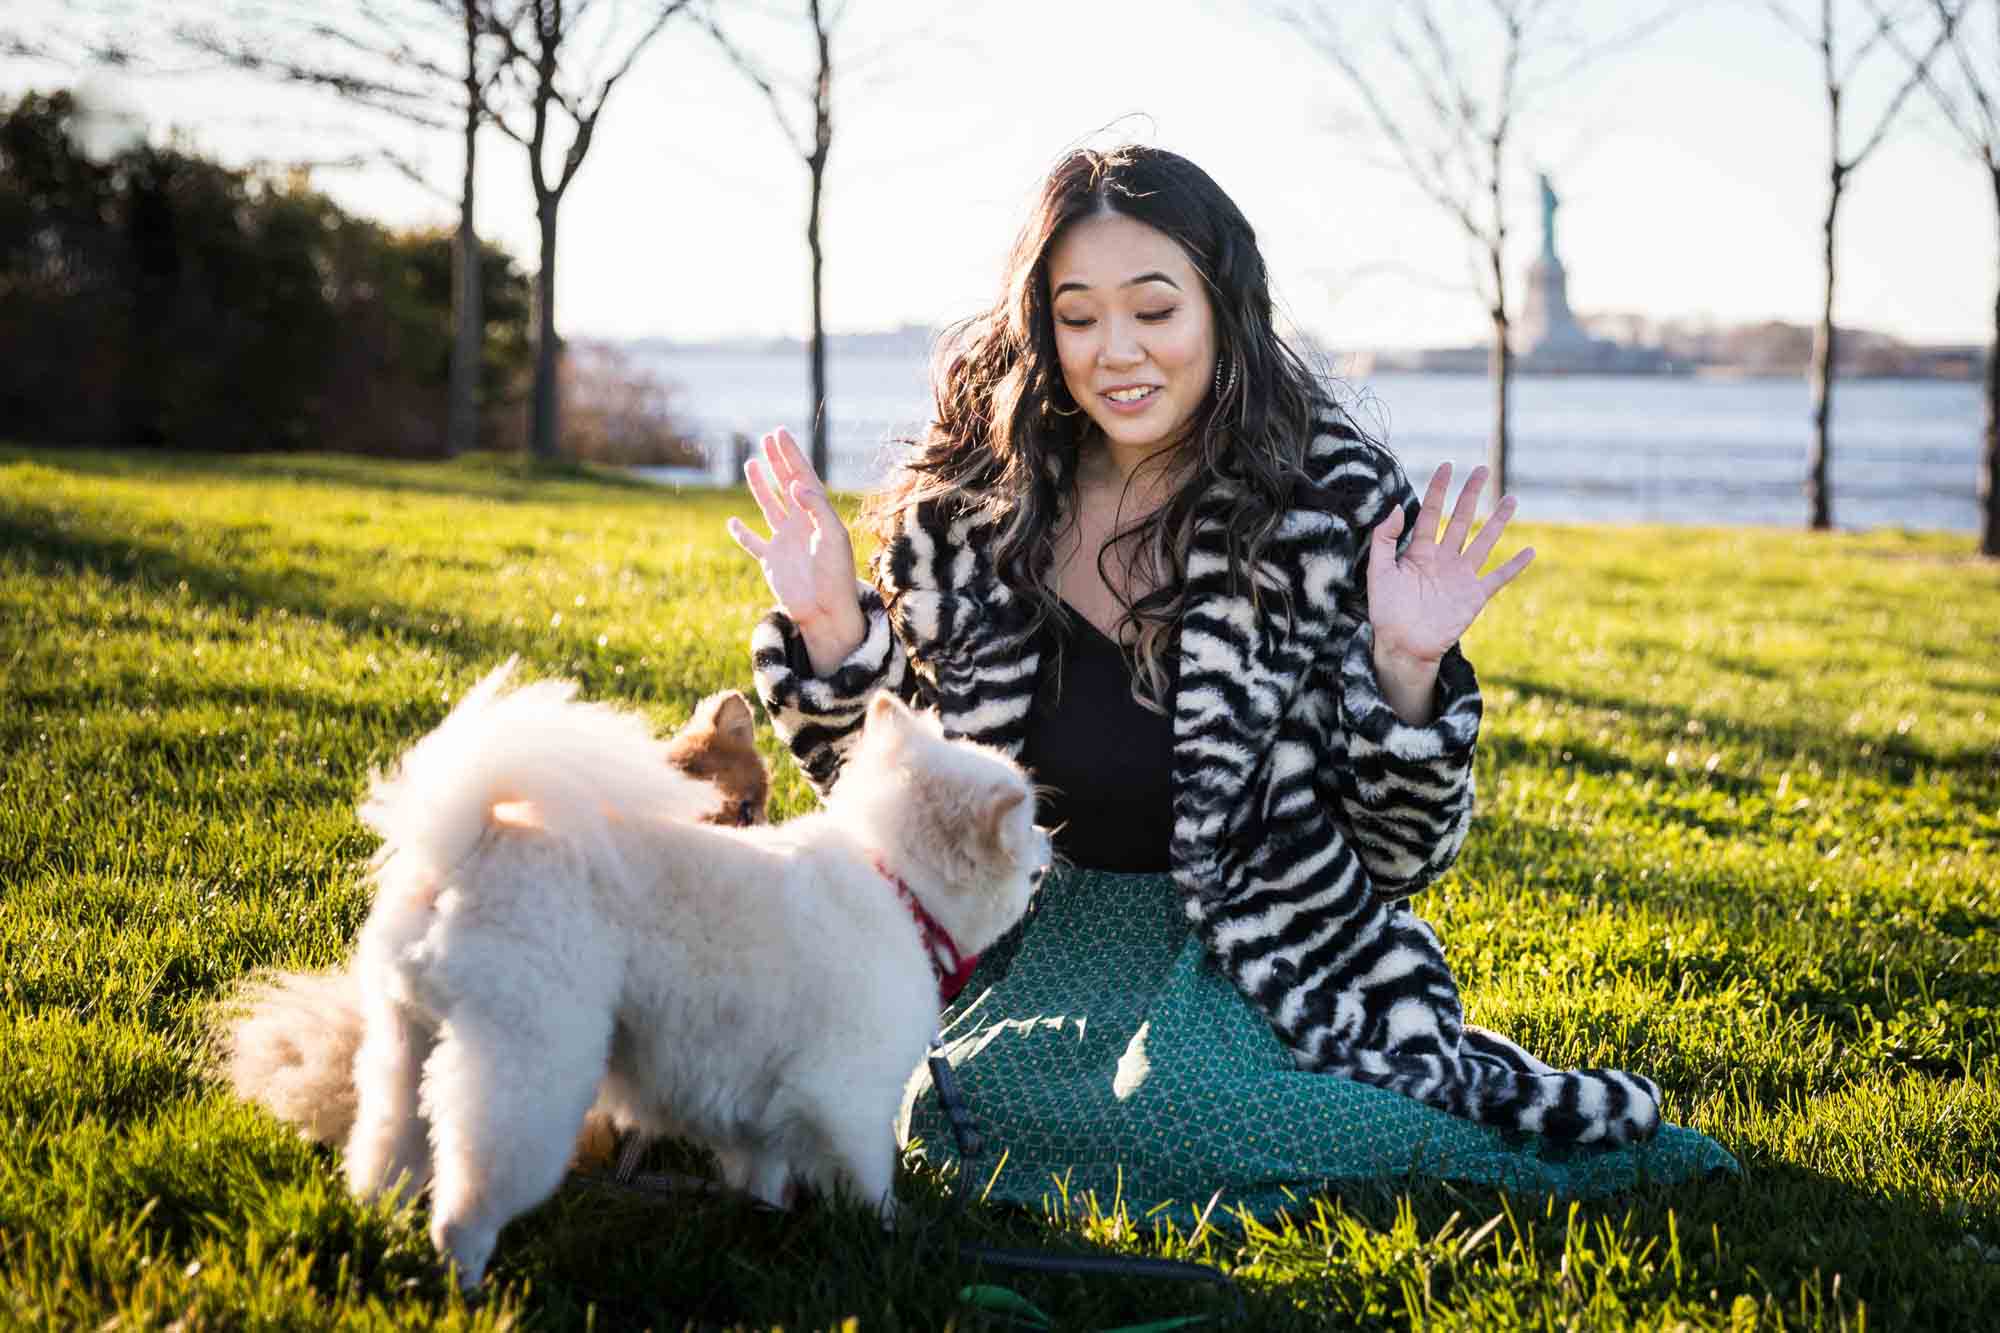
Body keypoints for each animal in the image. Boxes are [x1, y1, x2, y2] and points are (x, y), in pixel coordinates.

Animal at [338, 660, 1056, 1280]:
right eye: (1028, 823)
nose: (1051, 837)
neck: (893, 881)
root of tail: (467, 846)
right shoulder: (846, 1094)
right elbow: (868, 1177)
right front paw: (892, 1235)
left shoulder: (764, 1108)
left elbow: (765, 1171)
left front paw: (766, 1219)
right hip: (532, 1061)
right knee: (470, 1197)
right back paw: (466, 1276)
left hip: (406, 1042)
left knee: (386, 1152)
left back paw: (381, 1231)